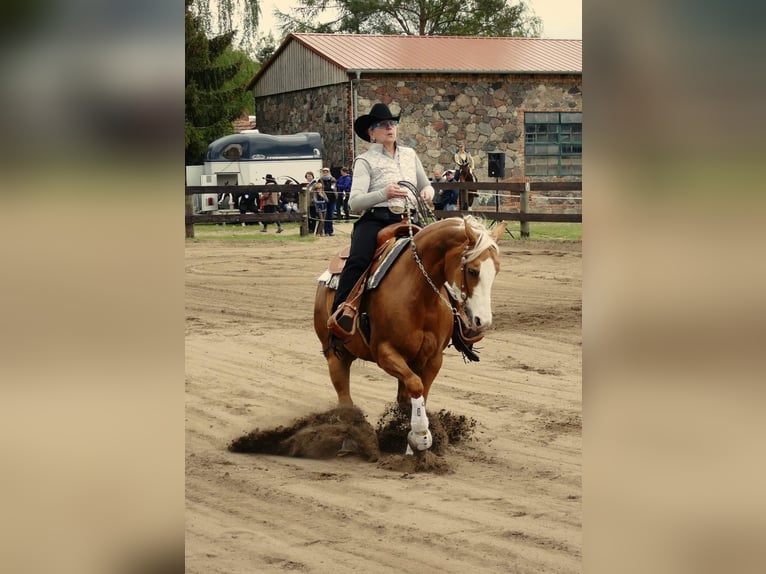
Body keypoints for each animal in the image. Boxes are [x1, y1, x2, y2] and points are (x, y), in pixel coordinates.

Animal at [316, 212, 508, 454]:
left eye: (497, 270)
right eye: (473, 270)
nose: (483, 321)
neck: (420, 294)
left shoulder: (432, 359)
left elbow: (418, 393)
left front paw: (413, 447)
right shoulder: (385, 352)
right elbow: (416, 386)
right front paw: (421, 434)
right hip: (335, 355)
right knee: (345, 400)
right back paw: (350, 441)